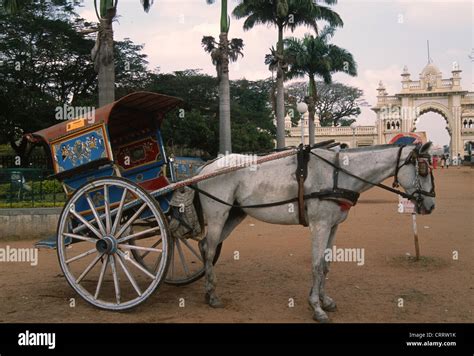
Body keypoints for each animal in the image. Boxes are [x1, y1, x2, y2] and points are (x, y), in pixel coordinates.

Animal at [194, 143, 436, 322]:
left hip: (235, 214)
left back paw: (207, 290)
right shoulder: (320, 225)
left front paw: (324, 300)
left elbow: (326, 264)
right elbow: (317, 265)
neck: (338, 173)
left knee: (205, 246)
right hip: (217, 216)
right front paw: (316, 307)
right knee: (209, 250)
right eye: (424, 170)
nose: (431, 206)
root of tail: (207, 166)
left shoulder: (333, 226)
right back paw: (213, 295)